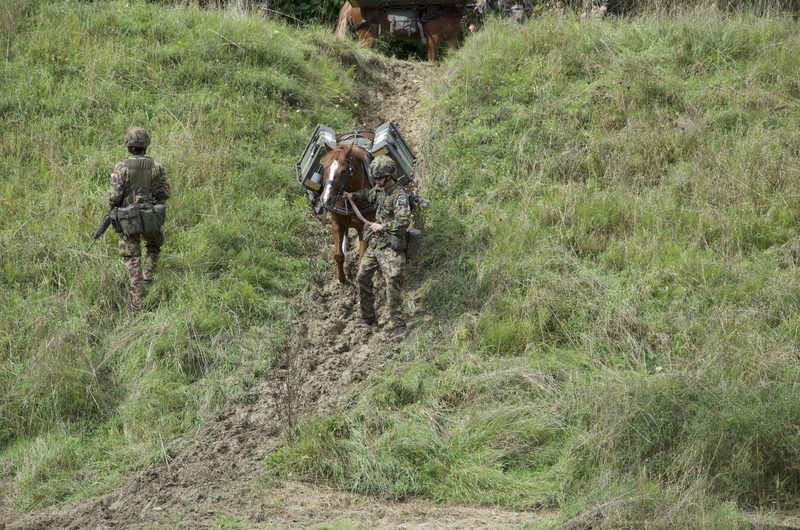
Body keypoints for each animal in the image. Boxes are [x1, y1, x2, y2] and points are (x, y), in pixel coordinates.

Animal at [319, 138, 376, 284]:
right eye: (324, 168)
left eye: (344, 171)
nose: (326, 199)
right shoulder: (336, 224)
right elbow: (338, 254)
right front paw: (342, 278)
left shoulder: (365, 228)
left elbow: (362, 256)